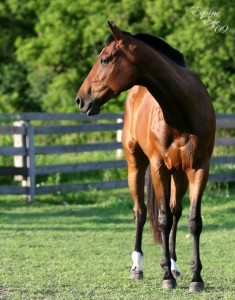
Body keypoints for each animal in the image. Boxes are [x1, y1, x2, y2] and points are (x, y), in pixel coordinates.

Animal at [75, 21, 215, 292]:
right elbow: (161, 220)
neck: (182, 111)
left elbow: (193, 221)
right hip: (136, 165)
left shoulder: (199, 169)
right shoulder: (159, 167)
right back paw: (137, 267)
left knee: (175, 212)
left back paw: (173, 264)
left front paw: (196, 278)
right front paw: (167, 278)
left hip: (179, 175)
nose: (81, 99)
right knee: (140, 211)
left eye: (105, 59)